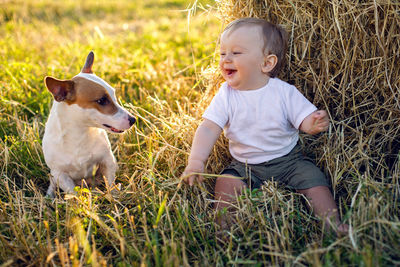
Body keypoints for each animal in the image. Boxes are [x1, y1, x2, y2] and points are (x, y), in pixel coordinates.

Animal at [43, 51, 135, 197]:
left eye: (114, 95)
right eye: (102, 100)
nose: (133, 120)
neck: (80, 134)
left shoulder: (107, 161)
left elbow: (110, 184)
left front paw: (114, 197)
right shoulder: (60, 175)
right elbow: (74, 195)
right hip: (54, 175)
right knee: (53, 184)